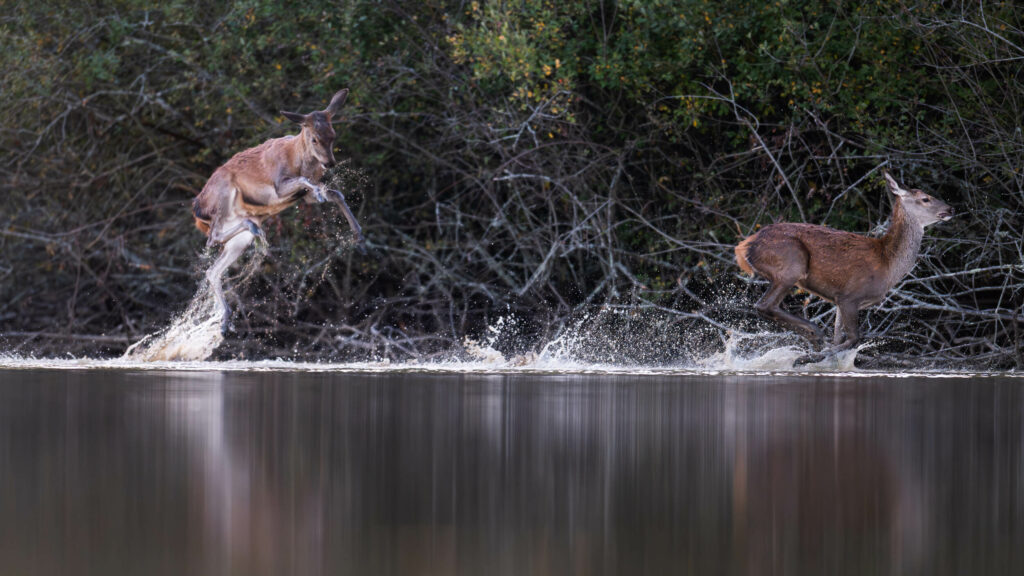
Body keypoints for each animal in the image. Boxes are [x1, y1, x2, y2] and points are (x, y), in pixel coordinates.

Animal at [192, 88, 365, 333]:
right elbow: (306, 182)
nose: (329, 163)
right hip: (223, 194)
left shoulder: (305, 196)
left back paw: (225, 321)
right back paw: (255, 230)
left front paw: (360, 238)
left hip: (238, 240)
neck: (298, 159)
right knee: (212, 238)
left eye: (333, 134)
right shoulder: (277, 187)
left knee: (213, 269)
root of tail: (198, 212)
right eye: (314, 138)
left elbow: (335, 194)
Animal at [734, 171, 953, 357]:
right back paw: (814, 334)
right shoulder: (850, 295)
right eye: (925, 198)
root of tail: (745, 246)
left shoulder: (839, 299)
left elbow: (839, 337)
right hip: (791, 262)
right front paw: (819, 353)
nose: (950, 208)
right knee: (764, 304)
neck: (888, 264)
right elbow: (854, 338)